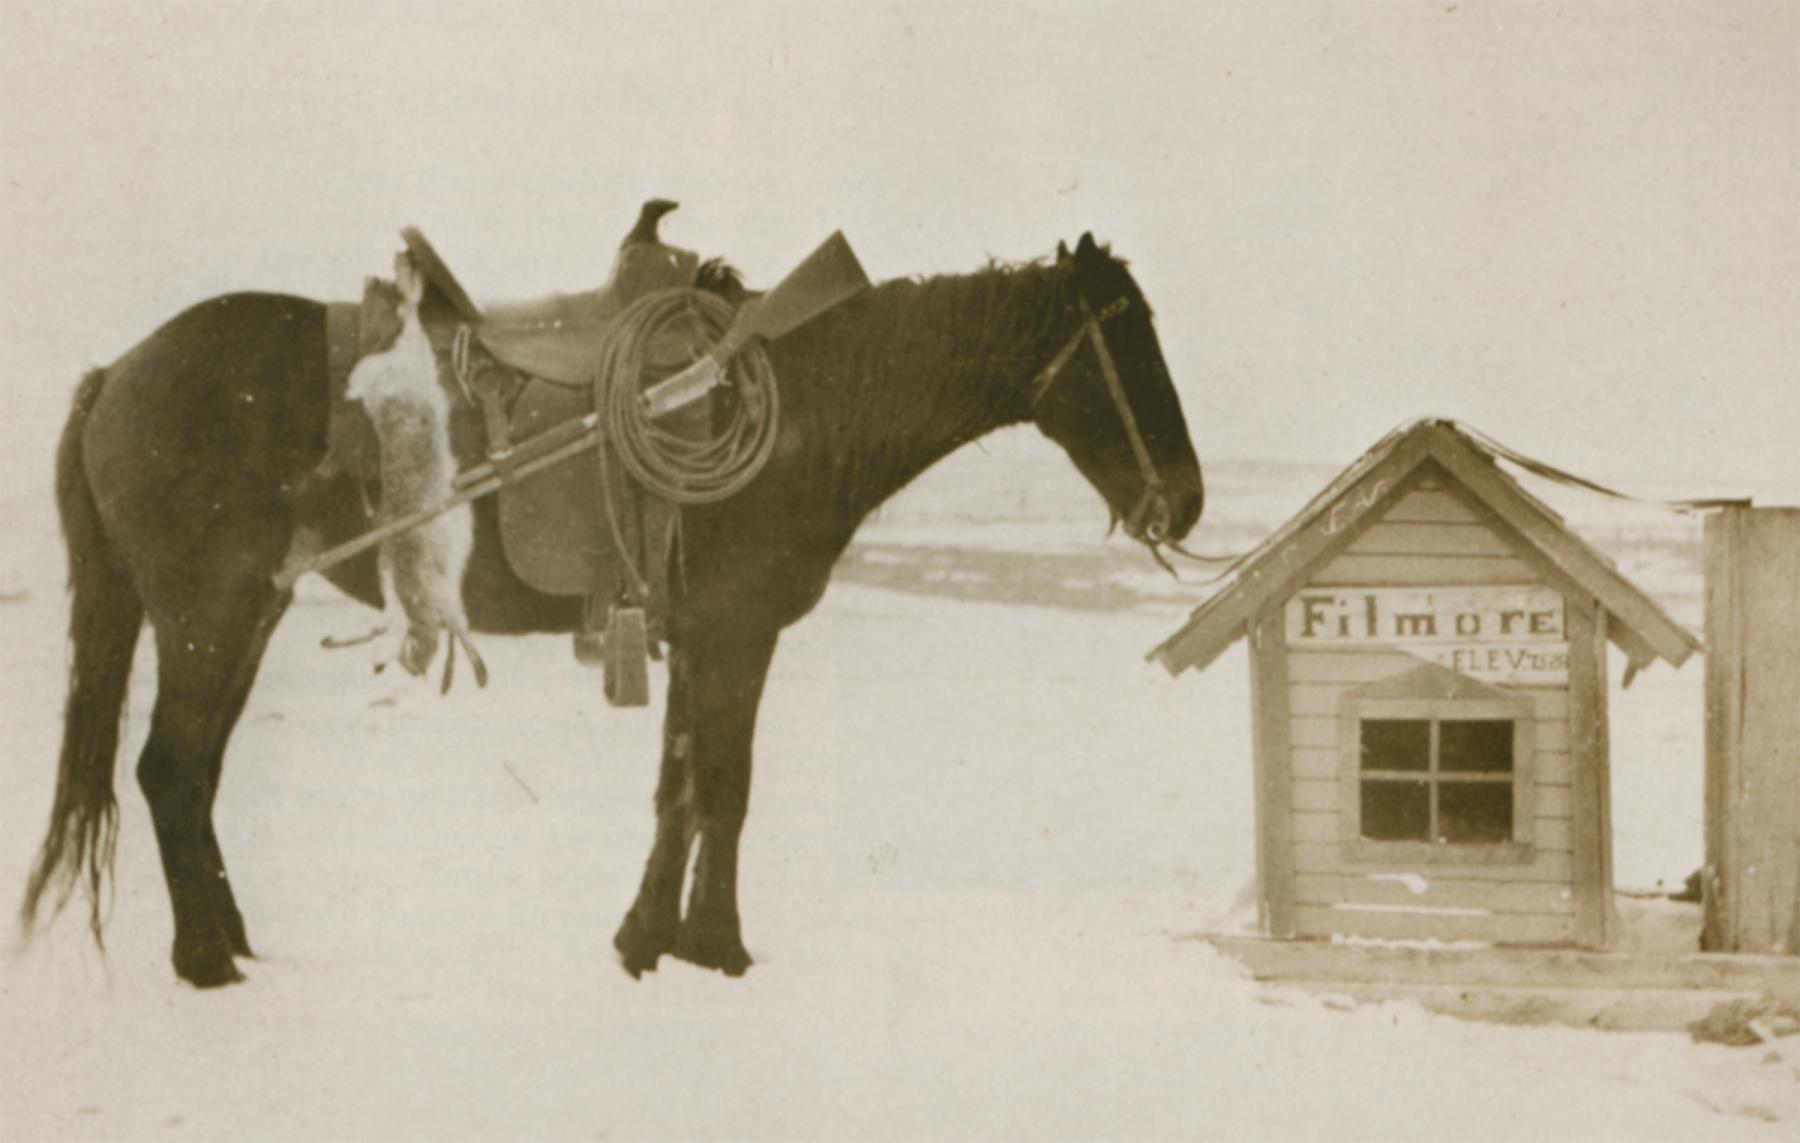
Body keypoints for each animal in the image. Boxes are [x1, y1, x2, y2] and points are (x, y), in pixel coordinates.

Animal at [21, 230, 1202, 986]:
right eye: (1126, 340)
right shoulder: (736, 633)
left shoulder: (692, 635)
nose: (1185, 498)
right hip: (207, 614)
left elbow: (677, 790)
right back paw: (205, 962)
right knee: (168, 770)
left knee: (192, 774)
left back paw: (231, 940)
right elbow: (725, 788)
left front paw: (648, 939)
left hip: (242, 617)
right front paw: (719, 946)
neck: (808, 405)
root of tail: (117, 374)